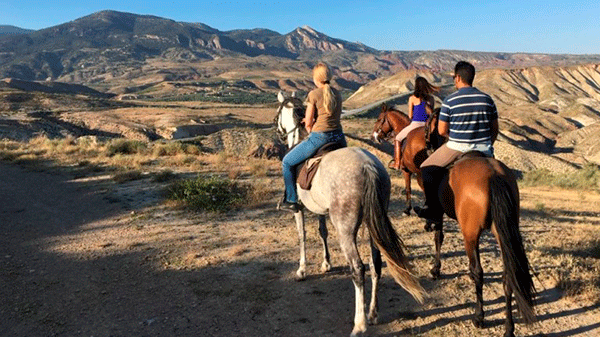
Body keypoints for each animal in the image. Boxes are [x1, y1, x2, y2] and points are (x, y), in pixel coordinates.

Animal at [274, 90, 424, 334]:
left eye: (278, 112)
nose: (278, 132)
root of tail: (368, 167)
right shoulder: (319, 208)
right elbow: (322, 232)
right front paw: (326, 263)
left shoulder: (300, 208)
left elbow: (302, 235)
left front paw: (302, 270)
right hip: (374, 224)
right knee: (375, 265)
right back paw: (373, 313)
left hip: (346, 229)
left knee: (358, 269)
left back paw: (360, 323)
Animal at [424, 109, 536, 334]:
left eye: (429, 123)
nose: (426, 143)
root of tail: (494, 175)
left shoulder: (439, 213)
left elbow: (438, 238)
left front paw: (435, 269)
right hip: (502, 233)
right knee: (507, 276)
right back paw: (508, 327)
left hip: (470, 234)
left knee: (479, 272)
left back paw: (479, 317)